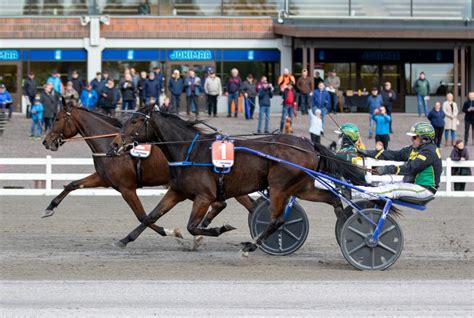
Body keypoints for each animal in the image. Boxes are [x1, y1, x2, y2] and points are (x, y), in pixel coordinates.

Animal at [42, 103, 256, 240]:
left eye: (57, 118)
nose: (46, 141)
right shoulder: (104, 179)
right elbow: (72, 184)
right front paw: (50, 207)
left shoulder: (126, 188)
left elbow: (142, 215)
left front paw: (170, 232)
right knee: (225, 204)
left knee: (247, 205)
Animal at [112, 105, 366, 252]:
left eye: (134, 121)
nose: (114, 144)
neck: (189, 151)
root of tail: (308, 144)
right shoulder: (177, 192)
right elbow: (150, 216)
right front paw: (124, 240)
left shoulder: (204, 196)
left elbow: (193, 226)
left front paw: (219, 229)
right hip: (302, 187)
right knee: (332, 200)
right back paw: (347, 223)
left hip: (279, 186)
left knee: (277, 220)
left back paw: (251, 245)